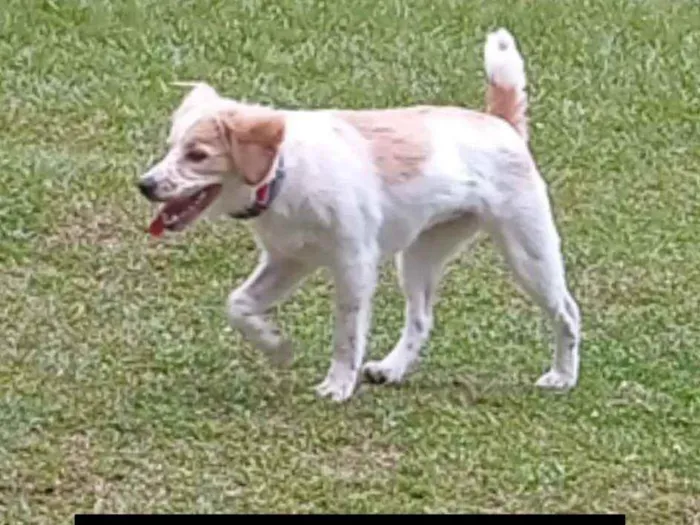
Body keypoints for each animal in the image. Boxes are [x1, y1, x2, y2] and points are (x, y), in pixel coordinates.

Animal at [137, 27, 580, 402]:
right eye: (170, 146)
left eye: (197, 155)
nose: (144, 184)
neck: (283, 172)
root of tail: (499, 121)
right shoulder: (287, 260)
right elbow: (238, 305)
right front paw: (276, 346)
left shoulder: (354, 264)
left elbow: (346, 333)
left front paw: (337, 384)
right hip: (419, 255)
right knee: (421, 318)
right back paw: (392, 368)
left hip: (528, 251)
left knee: (567, 312)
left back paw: (563, 375)